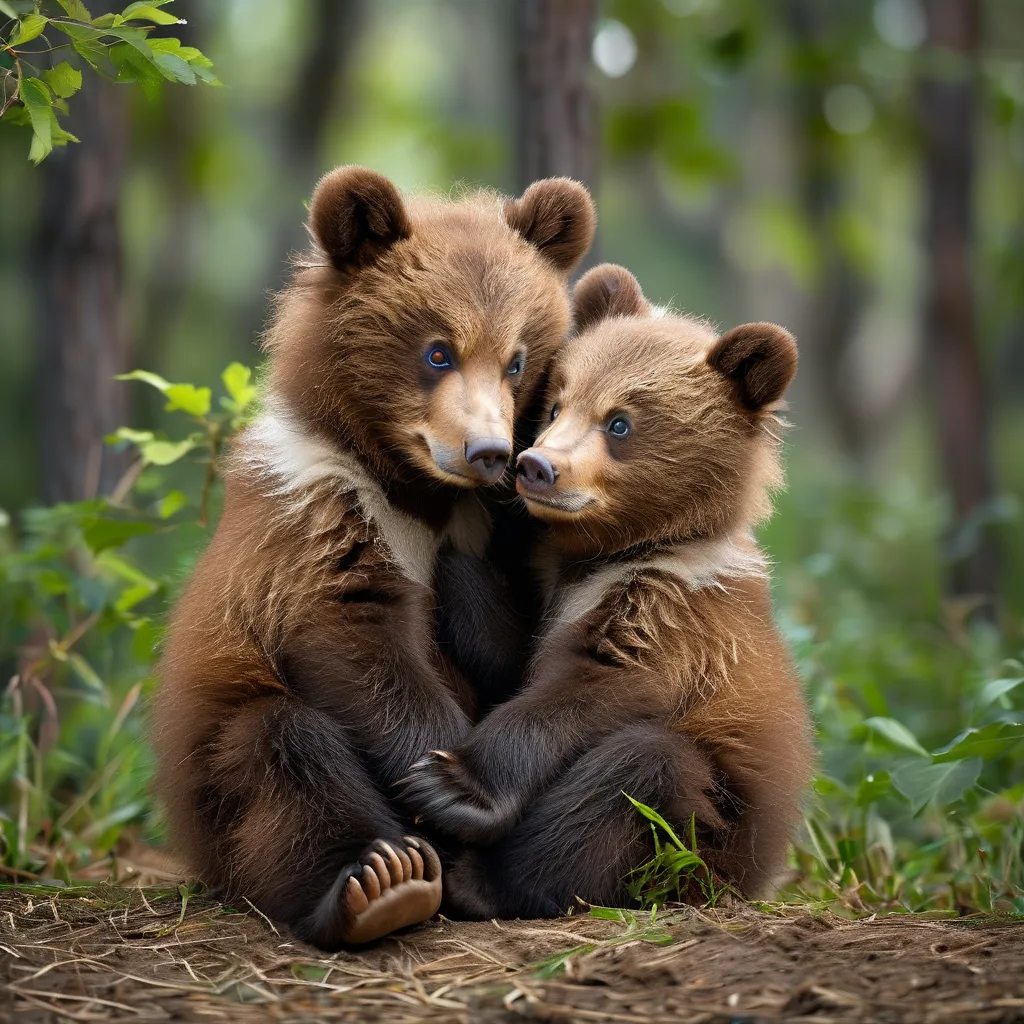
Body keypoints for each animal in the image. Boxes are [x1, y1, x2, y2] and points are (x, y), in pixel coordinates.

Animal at [151, 166, 596, 948]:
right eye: (438, 351)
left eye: (516, 360)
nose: (489, 453)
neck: (415, 492)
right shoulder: (318, 505)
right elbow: (356, 639)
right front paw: (438, 777)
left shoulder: (498, 530)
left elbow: (517, 647)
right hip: (212, 780)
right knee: (281, 753)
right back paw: (381, 883)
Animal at [400, 263, 814, 918]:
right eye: (555, 405)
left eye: (619, 422)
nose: (535, 466)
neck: (613, 552)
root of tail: (754, 879)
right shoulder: (552, 592)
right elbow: (516, 655)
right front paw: (454, 568)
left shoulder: (676, 612)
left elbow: (589, 688)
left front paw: (446, 783)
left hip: (706, 840)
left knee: (641, 772)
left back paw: (479, 881)